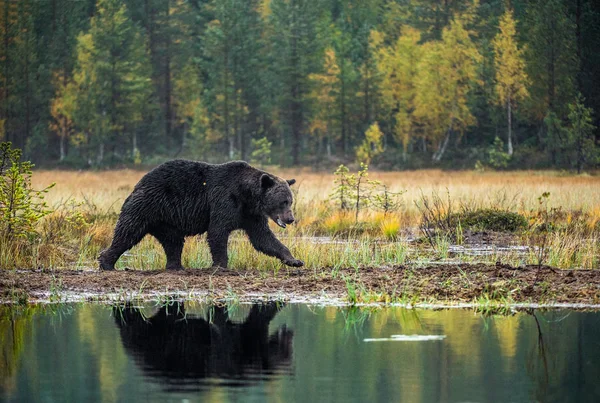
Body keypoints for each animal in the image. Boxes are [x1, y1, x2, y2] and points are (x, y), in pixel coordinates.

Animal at [100, 159, 304, 270]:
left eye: (290, 200)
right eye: (283, 201)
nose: (290, 219)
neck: (247, 195)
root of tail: (138, 184)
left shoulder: (250, 215)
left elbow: (263, 239)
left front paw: (294, 260)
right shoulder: (224, 200)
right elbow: (217, 231)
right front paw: (220, 264)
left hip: (166, 221)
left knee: (173, 241)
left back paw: (175, 266)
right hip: (147, 206)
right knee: (128, 232)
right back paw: (106, 261)